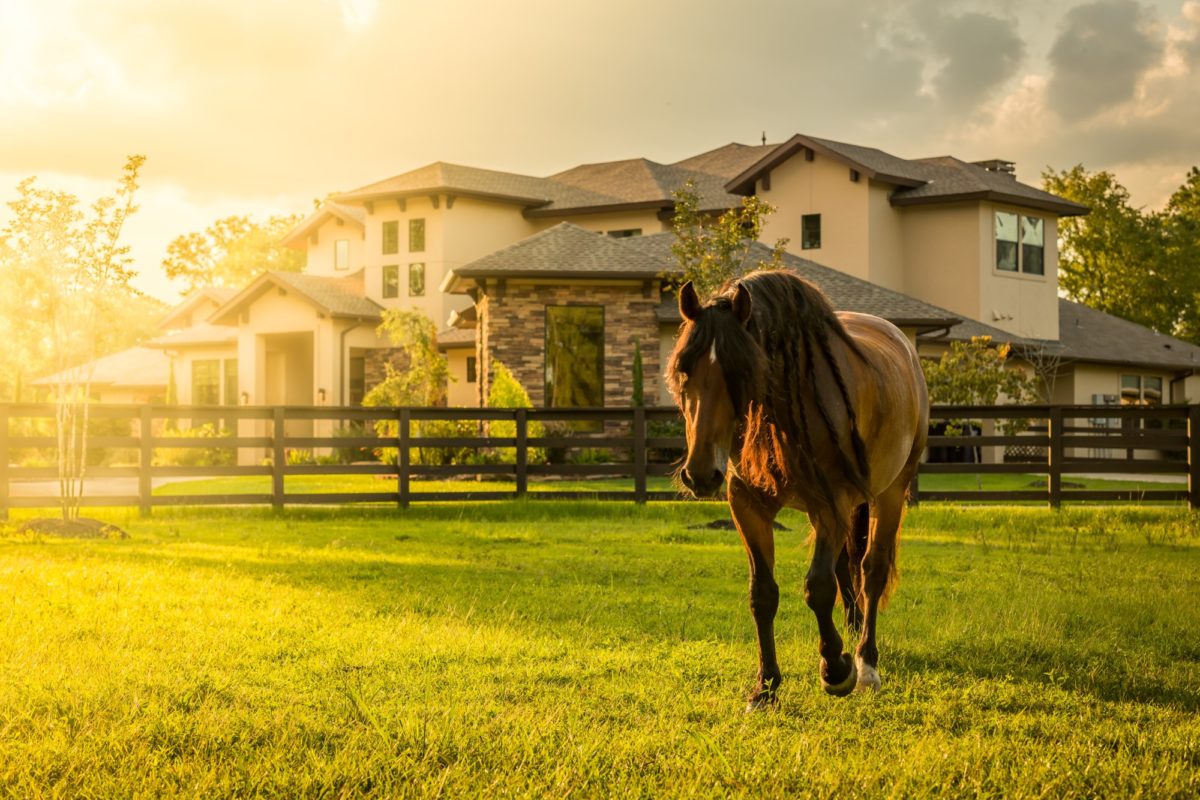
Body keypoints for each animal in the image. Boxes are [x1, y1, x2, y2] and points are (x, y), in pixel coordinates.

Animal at [666, 270, 929, 708]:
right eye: (684, 370)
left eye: (742, 373)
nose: (700, 474)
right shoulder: (747, 505)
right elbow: (763, 594)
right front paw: (766, 686)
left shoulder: (831, 502)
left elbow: (818, 588)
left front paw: (836, 669)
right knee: (846, 568)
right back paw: (852, 631)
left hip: (890, 493)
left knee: (870, 571)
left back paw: (866, 662)